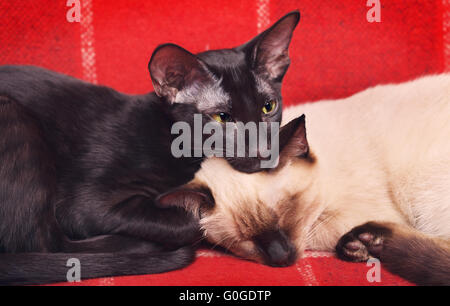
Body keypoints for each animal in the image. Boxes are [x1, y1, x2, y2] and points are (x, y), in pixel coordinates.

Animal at [0, 11, 302, 284]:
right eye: (222, 118)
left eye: (268, 107)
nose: (265, 151)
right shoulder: (85, 204)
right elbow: (191, 221)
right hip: (15, 118)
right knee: (43, 243)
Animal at [158, 74, 450, 286]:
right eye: (243, 240)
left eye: (287, 212)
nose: (282, 257)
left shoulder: (351, 214)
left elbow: (318, 232)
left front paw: (355, 246)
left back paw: (367, 241)